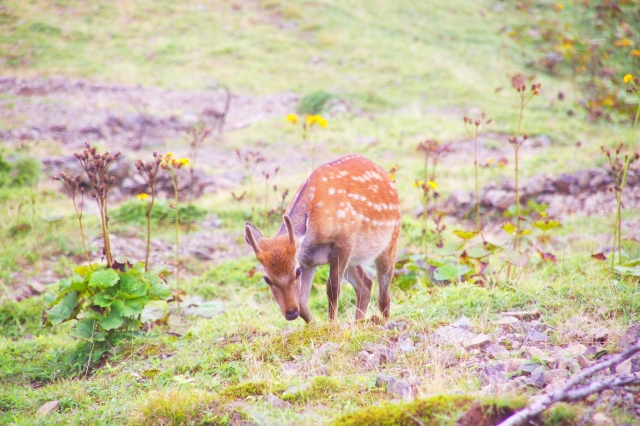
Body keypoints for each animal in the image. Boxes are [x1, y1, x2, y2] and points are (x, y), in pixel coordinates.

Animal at [245, 154, 400, 322]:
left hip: (392, 240)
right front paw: (316, 325)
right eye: (266, 278)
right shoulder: (307, 261)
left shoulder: (345, 239)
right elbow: (302, 302)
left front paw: (332, 324)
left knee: (384, 295)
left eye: (296, 272)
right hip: (352, 258)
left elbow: (333, 287)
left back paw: (384, 321)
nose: (291, 313)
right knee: (365, 283)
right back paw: (358, 321)